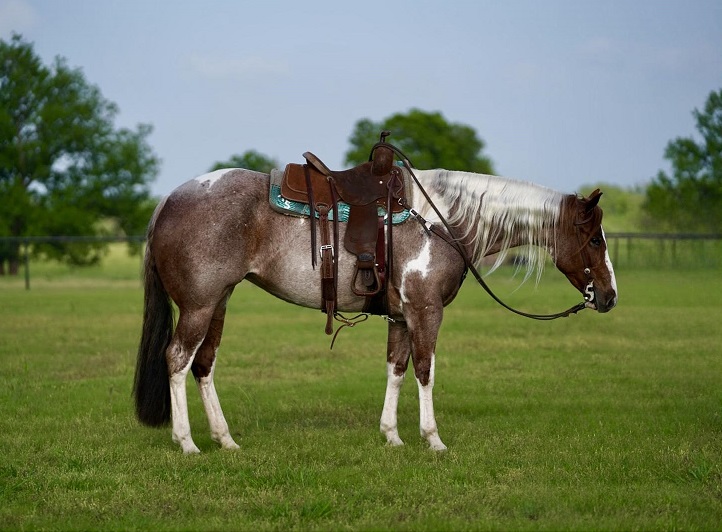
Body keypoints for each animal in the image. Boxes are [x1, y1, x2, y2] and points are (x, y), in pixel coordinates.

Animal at [133, 165, 618, 454]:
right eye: (595, 239)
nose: (610, 296)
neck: (442, 221)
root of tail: (169, 199)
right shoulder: (425, 311)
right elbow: (425, 370)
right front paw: (432, 439)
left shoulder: (402, 317)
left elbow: (396, 370)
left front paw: (392, 436)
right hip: (198, 306)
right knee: (177, 359)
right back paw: (187, 442)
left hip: (218, 303)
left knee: (204, 365)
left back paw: (225, 439)